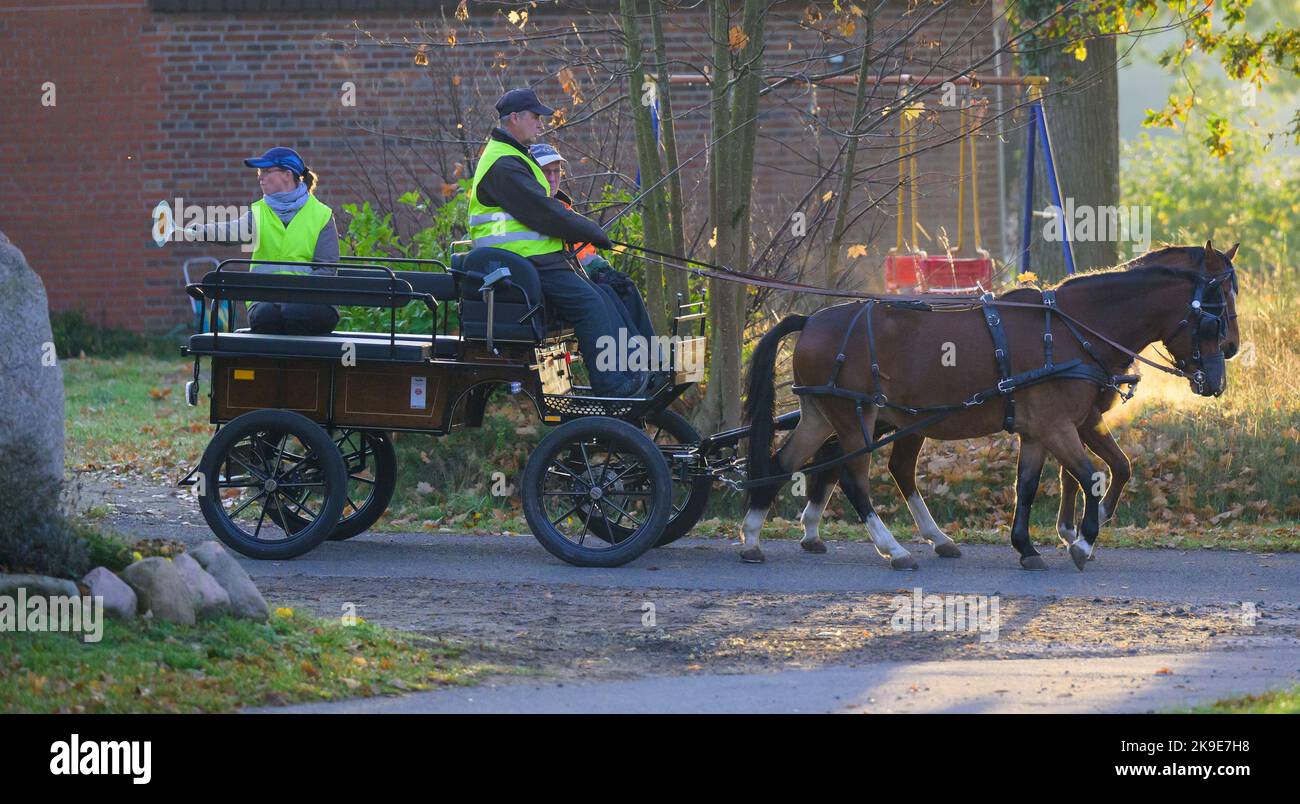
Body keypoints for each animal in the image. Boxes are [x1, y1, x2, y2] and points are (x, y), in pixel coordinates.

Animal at [743, 239, 1237, 569]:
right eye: (1214, 313)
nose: (1222, 369)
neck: (1073, 328)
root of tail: (812, 320)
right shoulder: (1058, 425)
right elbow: (1089, 474)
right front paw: (1081, 540)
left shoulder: (1047, 428)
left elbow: (1046, 481)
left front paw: (1029, 545)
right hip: (855, 417)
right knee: (852, 476)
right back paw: (893, 548)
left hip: (827, 414)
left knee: (787, 462)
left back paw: (753, 537)